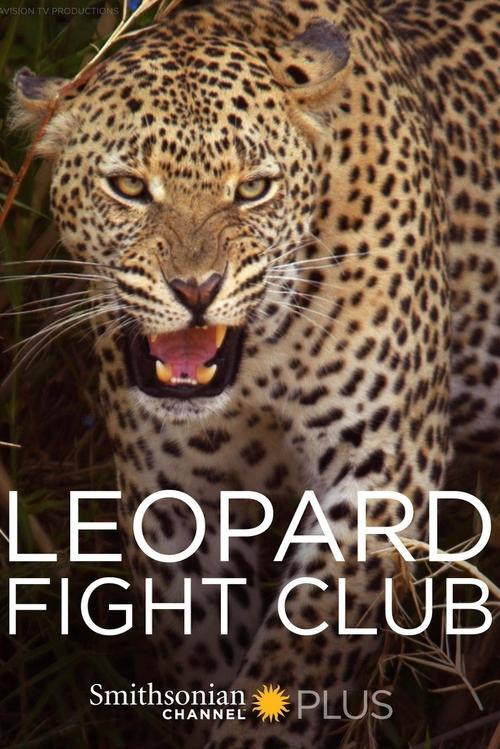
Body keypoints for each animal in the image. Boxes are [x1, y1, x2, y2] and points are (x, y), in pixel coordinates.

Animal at [10, 0, 499, 746]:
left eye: (253, 189)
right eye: (129, 188)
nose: (196, 288)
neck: (263, 360)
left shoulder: (378, 481)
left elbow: (292, 671)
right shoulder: (175, 500)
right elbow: (201, 655)